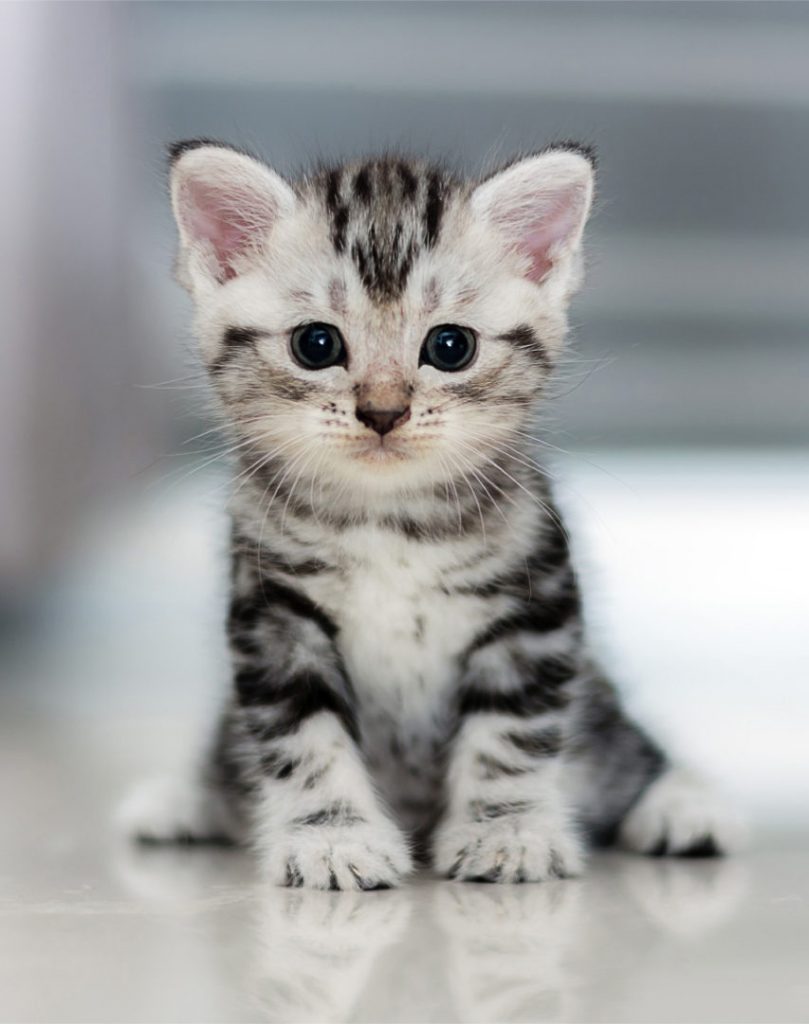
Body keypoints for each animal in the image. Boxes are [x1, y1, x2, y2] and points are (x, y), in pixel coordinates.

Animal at [117, 142, 745, 888]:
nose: (384, 412)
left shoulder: (534, 606)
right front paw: (334, 839)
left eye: (450, 346)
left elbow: (510, 737)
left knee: (625, 752)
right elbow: (304, 740)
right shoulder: (272, 613)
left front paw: (506, 833)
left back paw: (682, 808)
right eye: (316, 345)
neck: (389, 521)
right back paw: (183, 801)